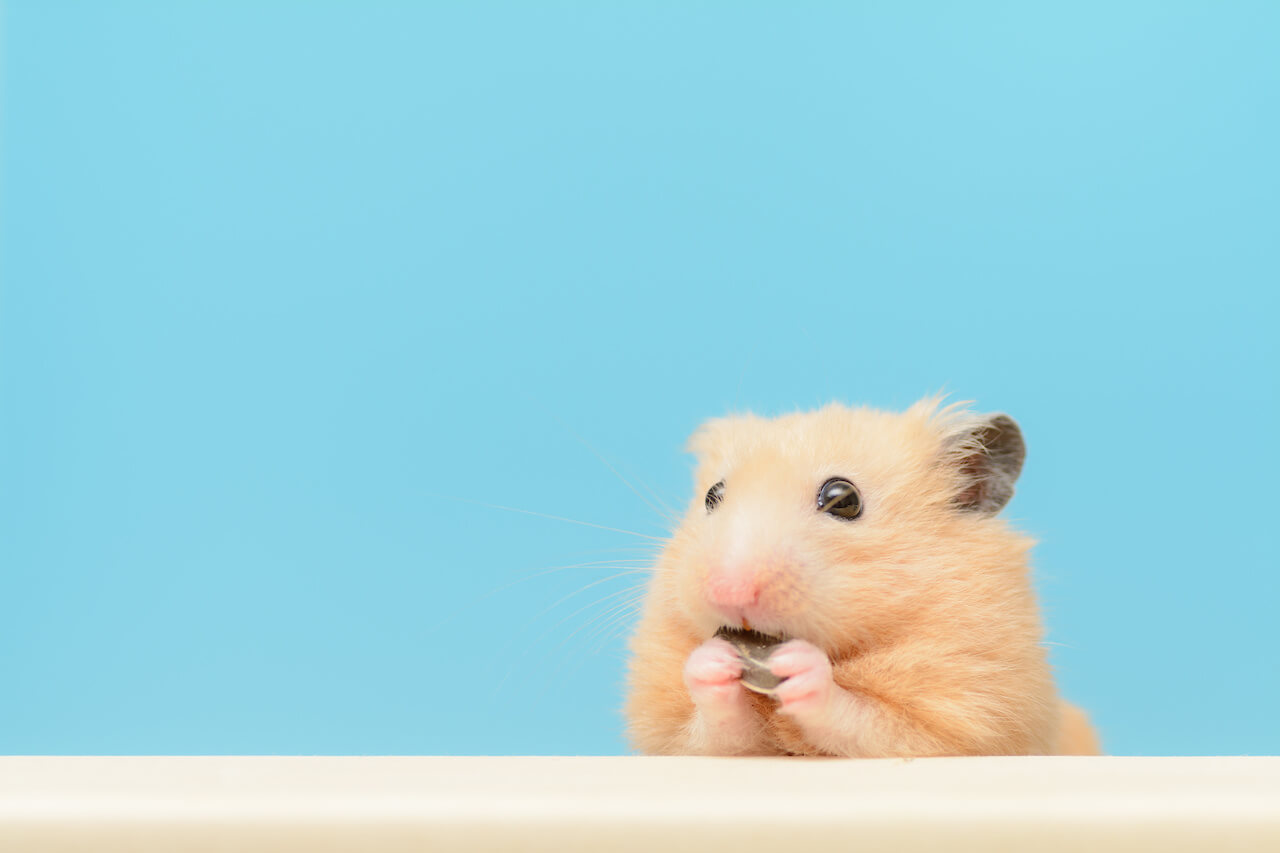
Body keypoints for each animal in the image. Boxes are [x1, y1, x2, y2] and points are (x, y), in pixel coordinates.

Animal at [624, 397, 1099, 757]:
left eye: (844, 499)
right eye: (712, 495)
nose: (728, 590)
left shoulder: (968, 722)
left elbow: (862, 720)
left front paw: (798, 666)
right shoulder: (690, 745)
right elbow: (715, 732)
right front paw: (713, 659)